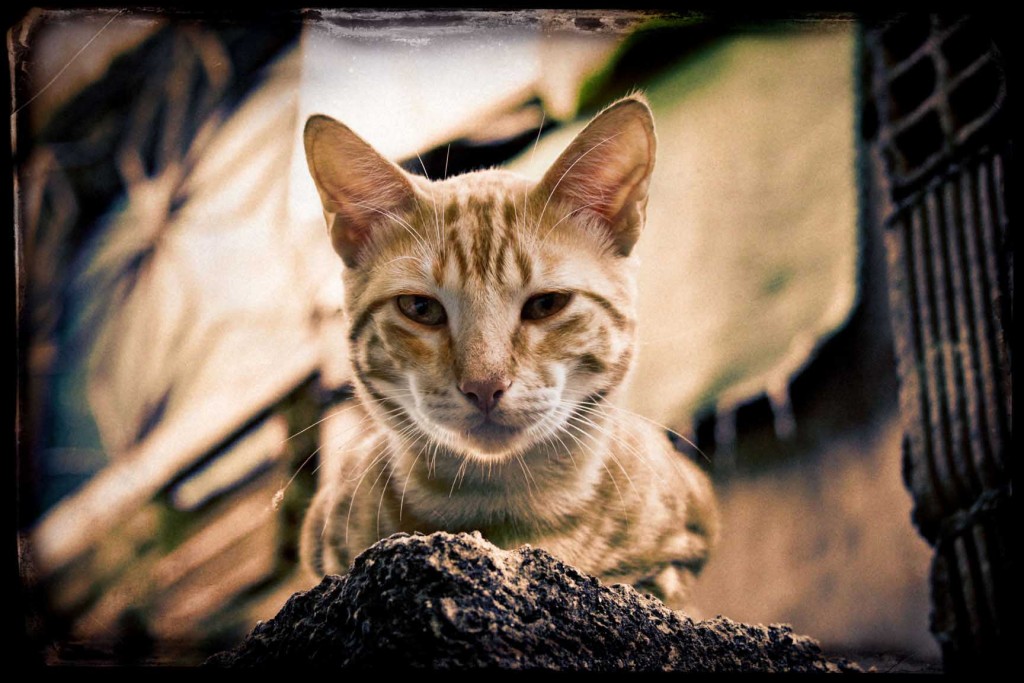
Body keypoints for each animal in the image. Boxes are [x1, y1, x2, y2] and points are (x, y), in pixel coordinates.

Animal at [299, 94, 720, 610]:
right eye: (420, 308)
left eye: (546, 304)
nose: (484, 386)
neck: (500, 511)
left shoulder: (694, 530)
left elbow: (660, 579)